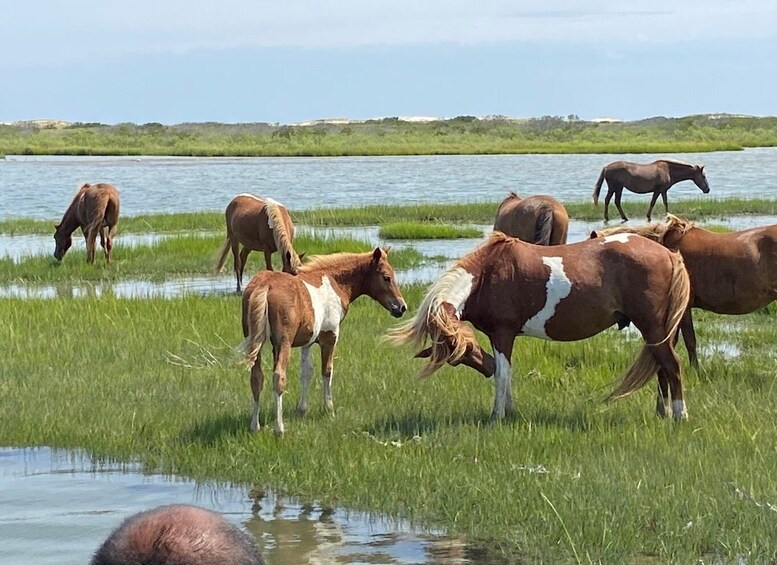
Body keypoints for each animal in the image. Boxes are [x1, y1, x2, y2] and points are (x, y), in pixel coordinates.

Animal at [242, 246, 406, 432]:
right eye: (386, 277)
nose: (401, 307)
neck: (335, 283)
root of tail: (265, 286)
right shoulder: (330, 336)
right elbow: (327, 370)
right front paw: (329, 409)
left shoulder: (306, 343)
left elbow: (306, 372)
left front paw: (302, 410)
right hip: (283, 343)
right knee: (278, 377)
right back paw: (279, 428)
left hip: (255, 343)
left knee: (256, 378)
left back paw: (255, 426)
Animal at [388, 229, 692, 418]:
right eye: (459, 357)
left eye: (468, 348)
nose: (484, 367)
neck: (488, 274)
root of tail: (668, 253)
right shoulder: (498, 336)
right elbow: (505, 374)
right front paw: (509, 411)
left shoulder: (504, 333)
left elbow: (503, 374)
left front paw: (497, 416)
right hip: (655, 332)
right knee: (661, 368)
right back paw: (663, 412)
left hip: (652, 327)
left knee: (672, 365)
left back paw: (680, 415)